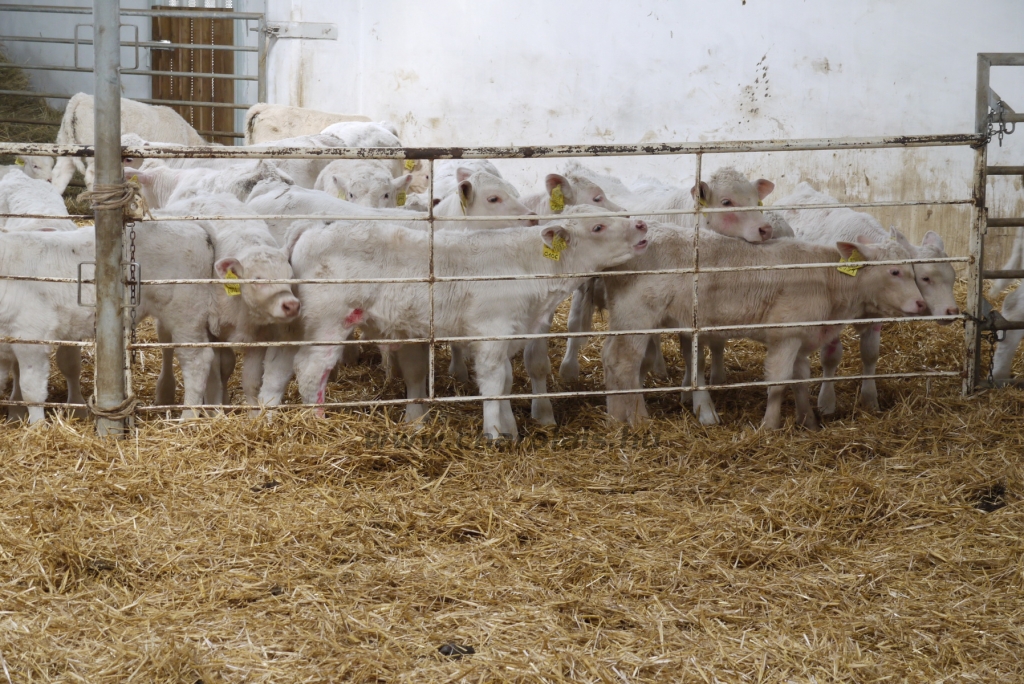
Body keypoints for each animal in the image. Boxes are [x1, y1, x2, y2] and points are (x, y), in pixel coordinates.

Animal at [260, 204, 651, 438]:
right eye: (598, 227)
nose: (642, 222)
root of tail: (313, 228)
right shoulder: (491, 332)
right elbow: (492, 383)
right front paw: (494, 434)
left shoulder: (509, 334)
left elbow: (506, 380)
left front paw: (509, 428)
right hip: (327, 320)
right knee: (311, 369)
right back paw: (316, 421)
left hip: (298, 322)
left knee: (278, 367)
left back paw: (264, 416)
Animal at [598, 223, 929, 428]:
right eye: (894, 271)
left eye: (914, 270)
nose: (920, 304)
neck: (828, 281)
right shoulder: (786, 334)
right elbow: (779, 383)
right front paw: (770, 426)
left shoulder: (802, 337)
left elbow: (801, 380)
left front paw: (807, 421)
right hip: (637, 313)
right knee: (625, 361)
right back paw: (639, 419)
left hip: (625, 315)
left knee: (609, 355)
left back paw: (615, 416)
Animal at [774, 181, 958, 413]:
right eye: (925, 278)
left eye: (953, 277)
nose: (952, 311)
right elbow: (830, 357)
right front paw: (827, 402)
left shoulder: (876, 316)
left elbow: (870, 354)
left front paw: (870, 399)